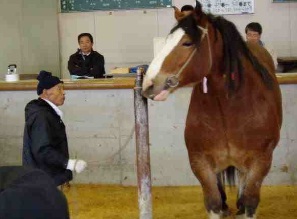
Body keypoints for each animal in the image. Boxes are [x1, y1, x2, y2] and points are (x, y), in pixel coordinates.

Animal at [142, 0, 280, 218]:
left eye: (187, 43)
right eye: (167, 40)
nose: (148, 84)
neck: (230, 110)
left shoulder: (260, 162)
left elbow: (249, 203)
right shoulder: (201, 162)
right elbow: (214, 202)